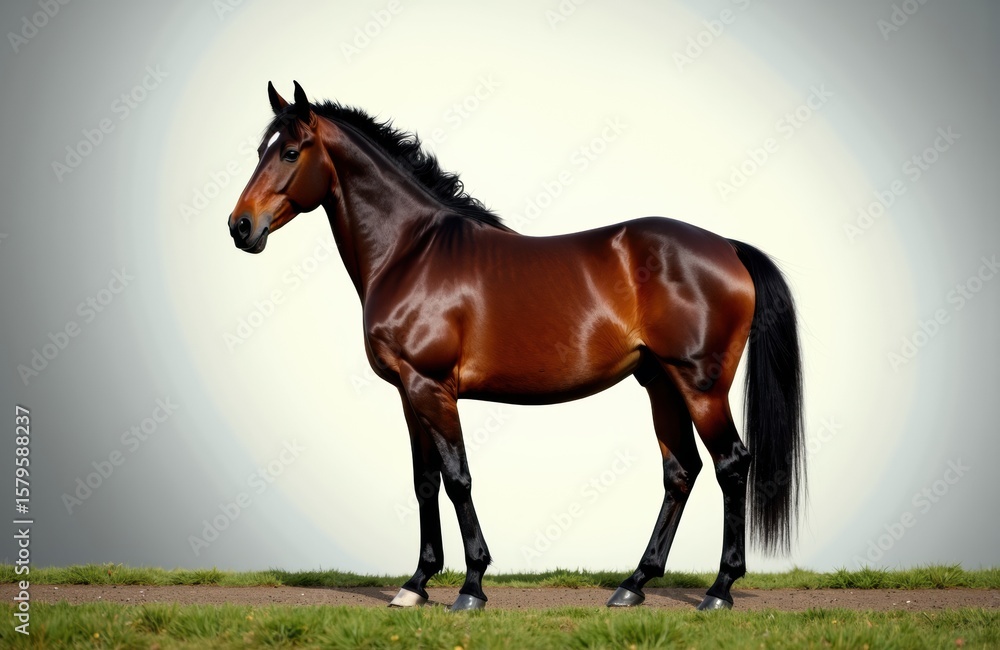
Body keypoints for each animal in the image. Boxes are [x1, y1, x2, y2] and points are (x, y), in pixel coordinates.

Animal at [227, 81, 804, 612]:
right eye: (260, 151)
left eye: (290, 152)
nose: (240, 226)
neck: (412, 252)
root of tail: (727, 247)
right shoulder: (408, 394)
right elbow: (424, 481)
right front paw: (417, 584)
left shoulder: (432, 388)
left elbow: (457, 479)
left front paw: (471, 586)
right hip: (661, 383)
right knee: (681, 471)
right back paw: (633, 584)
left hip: (701, 386)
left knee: (732, 465)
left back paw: (719, 590)